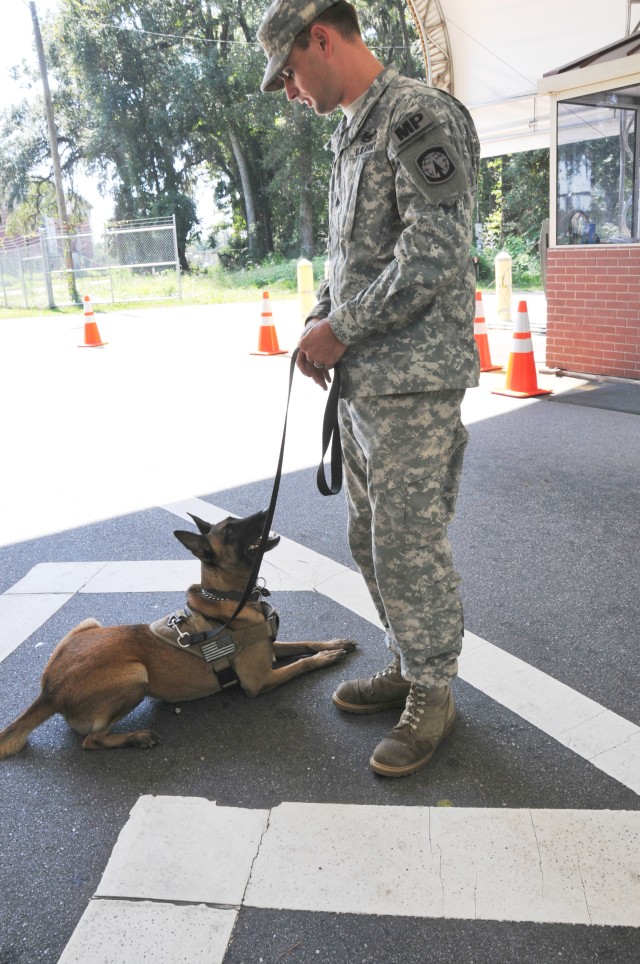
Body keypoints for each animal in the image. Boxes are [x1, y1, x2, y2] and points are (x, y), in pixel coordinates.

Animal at [0, 508, 356, 756]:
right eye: (231, 530)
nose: (266, 511)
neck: (231, 598)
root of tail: (48, 691)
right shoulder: (259, 681)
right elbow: (301, 664)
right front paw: (326, 657)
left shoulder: (270, 645)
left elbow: (304, 642)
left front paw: (332, 643)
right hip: (135, 674)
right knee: (91, 740)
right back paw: (136, 737)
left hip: (90, 623)